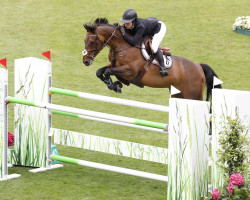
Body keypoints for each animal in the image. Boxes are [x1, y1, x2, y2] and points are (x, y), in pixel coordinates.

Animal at [82, 18, 221, 101]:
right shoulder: (114, 65)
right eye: (84, 41)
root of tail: (199, 67)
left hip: (193, 95)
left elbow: (108, 71)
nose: (85, 61)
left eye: (92, 42)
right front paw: (114, 85)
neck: (122, 45)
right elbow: (100, 71)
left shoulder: (130, 72)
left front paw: (114, 85)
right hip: (178, 94)